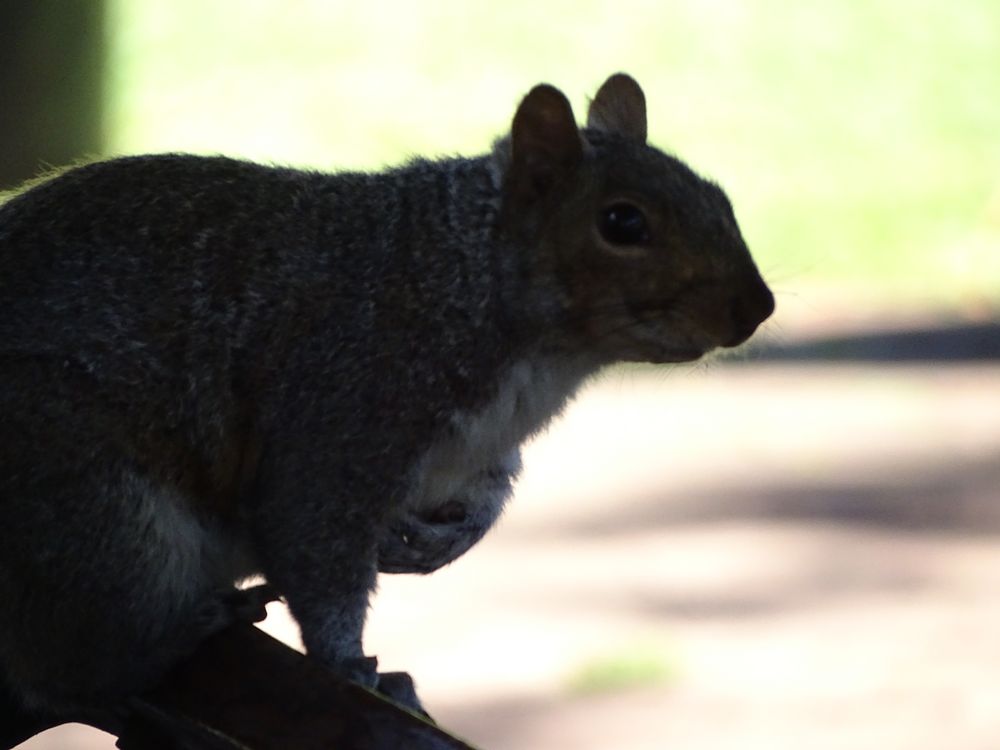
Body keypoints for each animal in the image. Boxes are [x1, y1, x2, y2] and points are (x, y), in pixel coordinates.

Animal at [0, 72, 772, 724]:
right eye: (622, 223)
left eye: (721, 198)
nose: (756, 307)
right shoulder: (345, 407)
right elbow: (319, 552)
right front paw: (351, 667)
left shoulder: (477, 445)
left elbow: (483, 493)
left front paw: (444, 538)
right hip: (97, 520)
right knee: (83, 669)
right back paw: (188, 628)